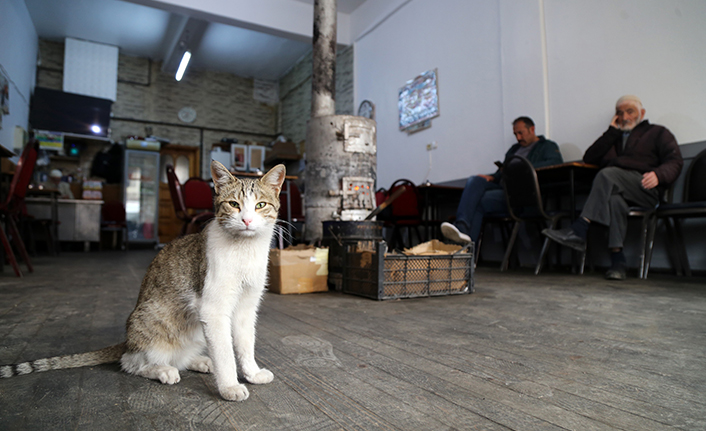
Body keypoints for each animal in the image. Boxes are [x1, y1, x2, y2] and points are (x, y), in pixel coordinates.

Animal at [1, 160, 286, 404]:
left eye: (260, 205)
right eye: (234, 205)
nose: (247, 220)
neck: (245, 251)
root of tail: (128, 341)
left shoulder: (246, 307)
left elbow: (245, 344)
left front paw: (251, 373)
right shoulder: (213, 309)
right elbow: (225, 352)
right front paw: (229, 386)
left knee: (179, 355)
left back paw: (199, 361)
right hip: (152, 318)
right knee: (131, 361)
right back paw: (163, 370)